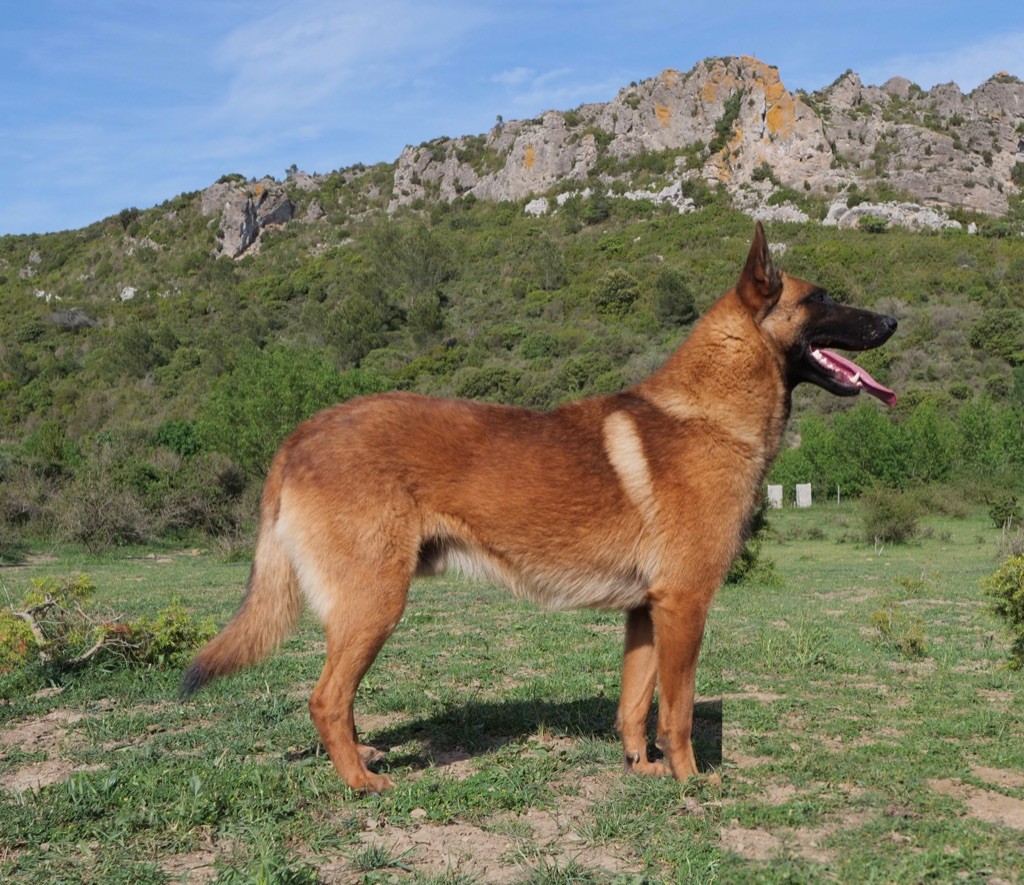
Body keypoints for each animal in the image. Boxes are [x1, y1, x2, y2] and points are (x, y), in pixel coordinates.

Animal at [184, 224, 897, 790]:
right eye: (821, 299)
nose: (893, 322)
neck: (711, 412)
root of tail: (300, 434)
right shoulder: (685, 605)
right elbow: (678, 712)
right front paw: (691, 783)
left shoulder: (646, 613)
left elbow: (633, 706)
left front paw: (642, 768)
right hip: (375, 604)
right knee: (326, 698)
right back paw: (361, 782)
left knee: (340, 698)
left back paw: (364, 758)